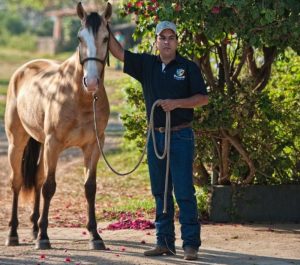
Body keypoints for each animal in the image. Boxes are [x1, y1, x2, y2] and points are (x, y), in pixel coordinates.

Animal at [4, 2, 112, 250]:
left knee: (36, 178)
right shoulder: (54, 144)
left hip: (41, 144)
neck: (79, 96)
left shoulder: (94, 146)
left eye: (105, 38)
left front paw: (95, 236)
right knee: (17, 182)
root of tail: (24, 69)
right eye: (79, 38)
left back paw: (34, 228)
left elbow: (89, 187)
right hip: (17, 143)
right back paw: (13, 233)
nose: (92, 82)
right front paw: (44, 237)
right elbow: (50, 187)